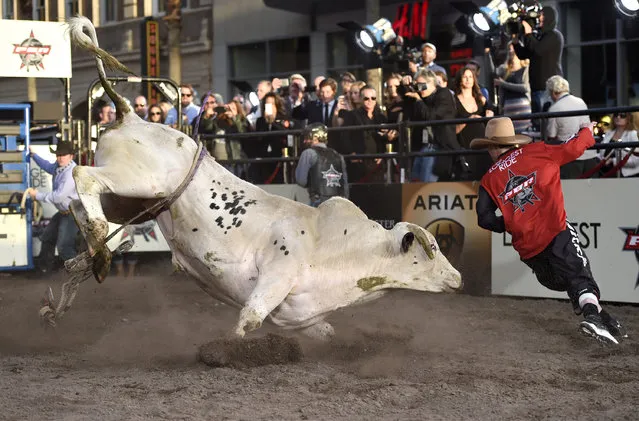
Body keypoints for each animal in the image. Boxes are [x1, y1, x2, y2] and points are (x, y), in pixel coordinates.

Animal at [43, 16, 464, 342]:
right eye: (431, 249)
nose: (458, 278)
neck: (340, 248)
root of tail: (130, 115)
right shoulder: (273, 279)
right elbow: (247, 322)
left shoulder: (303, 316)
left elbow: (322, 331)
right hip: (138, 182)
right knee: (82, 176)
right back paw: (97, 250)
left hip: (135, 200)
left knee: (83, 207)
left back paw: (88, 265)